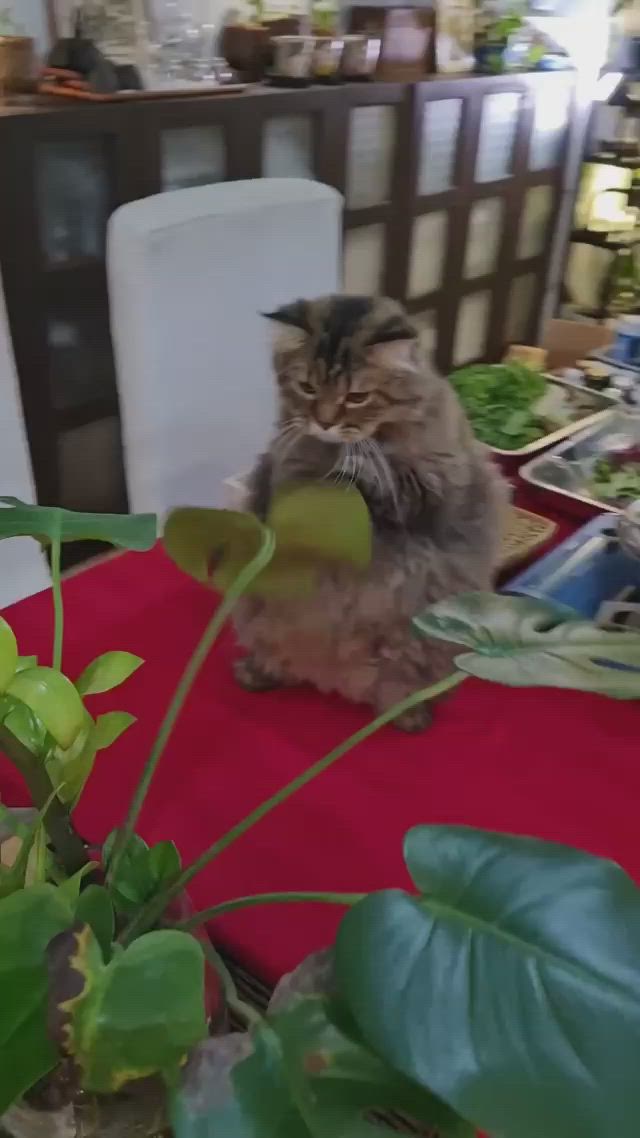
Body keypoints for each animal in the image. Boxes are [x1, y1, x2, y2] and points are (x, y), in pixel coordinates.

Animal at [231, 298, 505, 732]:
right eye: (307, 388)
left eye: (357, 396)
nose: (325, 421)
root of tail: (335, 679)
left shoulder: (427, 491)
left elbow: (378, 478)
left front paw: (356, 461)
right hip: (259, 615)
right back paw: (259, 673)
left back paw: (408, 714)